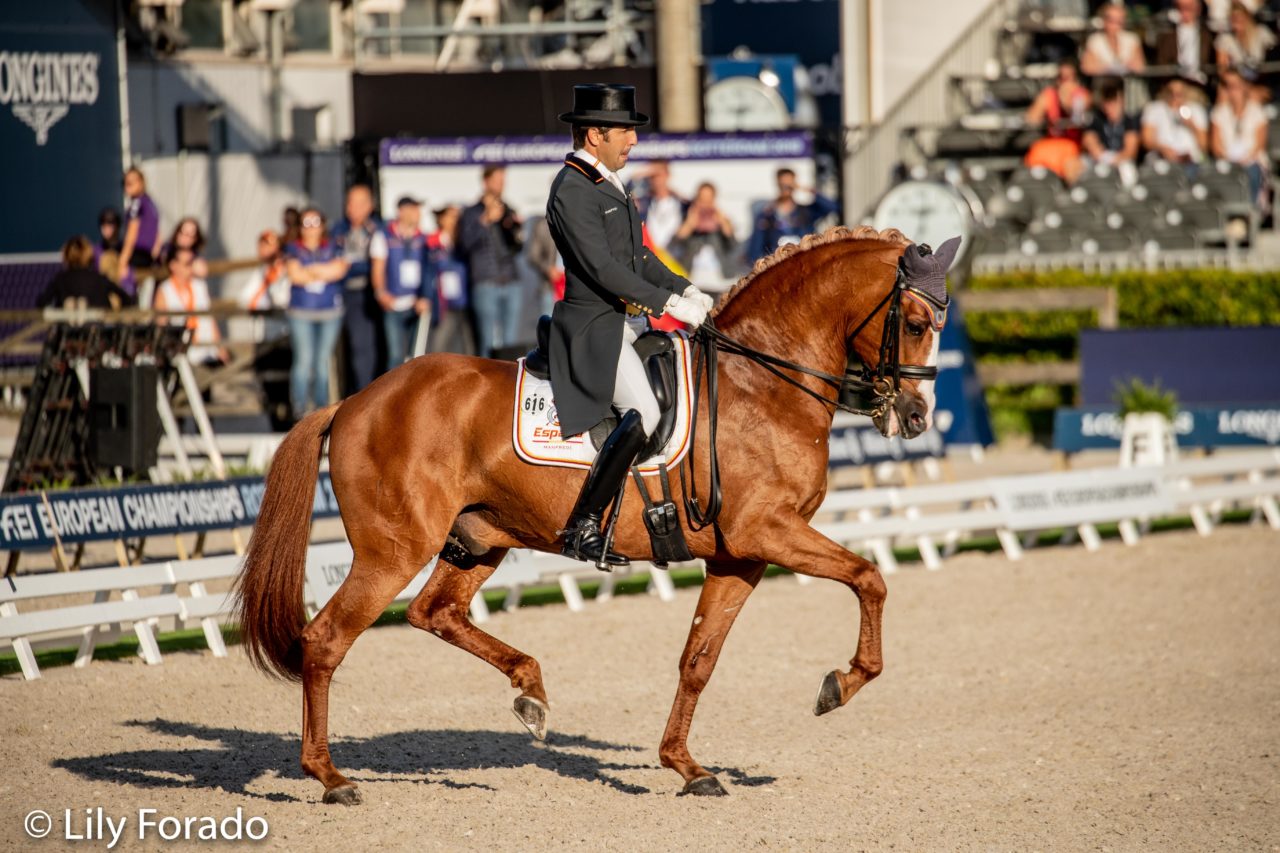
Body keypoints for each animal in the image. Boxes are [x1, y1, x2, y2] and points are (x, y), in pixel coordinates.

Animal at [235, 222, 947, 799]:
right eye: (915, 324)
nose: (915, 417)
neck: (761, 384)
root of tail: (355, 400)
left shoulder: (740, 555)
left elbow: (698, 659)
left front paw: (687, 766)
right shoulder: (770, 531)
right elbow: (869, 577)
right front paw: (841, 684)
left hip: (480, 538)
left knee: (434, 612)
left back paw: (530, 693)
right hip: (393, 549)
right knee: (327, 640)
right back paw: (330, 777)